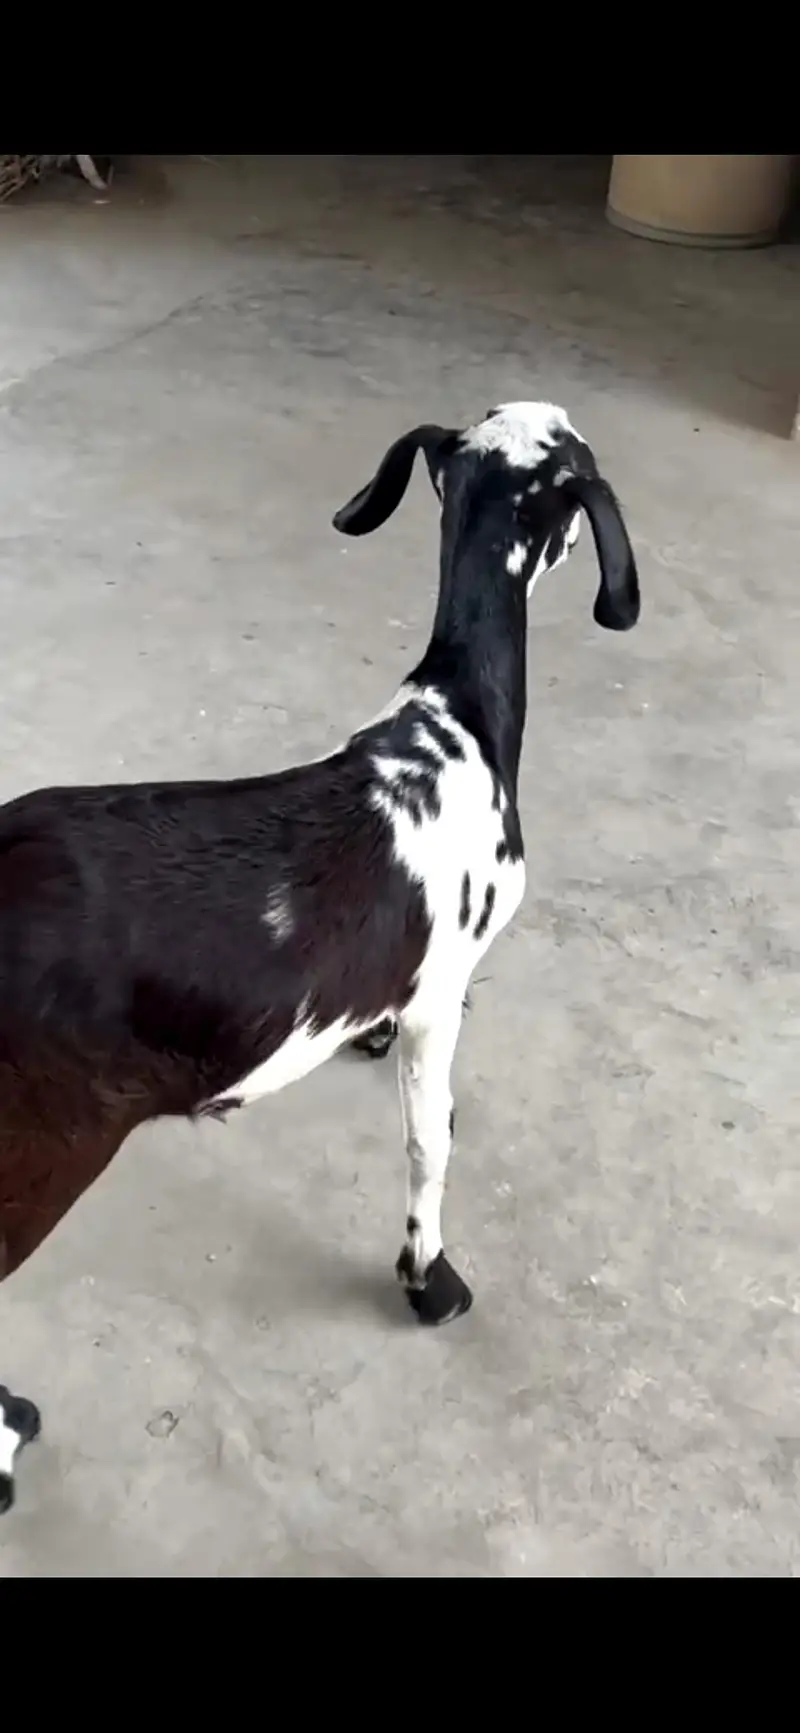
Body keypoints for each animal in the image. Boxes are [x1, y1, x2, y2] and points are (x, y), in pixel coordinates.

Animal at [0, 401, 640, 1513]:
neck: (451, 729)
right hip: (34, 1140)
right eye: (572, 455)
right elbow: (431, 1139)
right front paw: (431, 1278)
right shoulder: (444, 986)